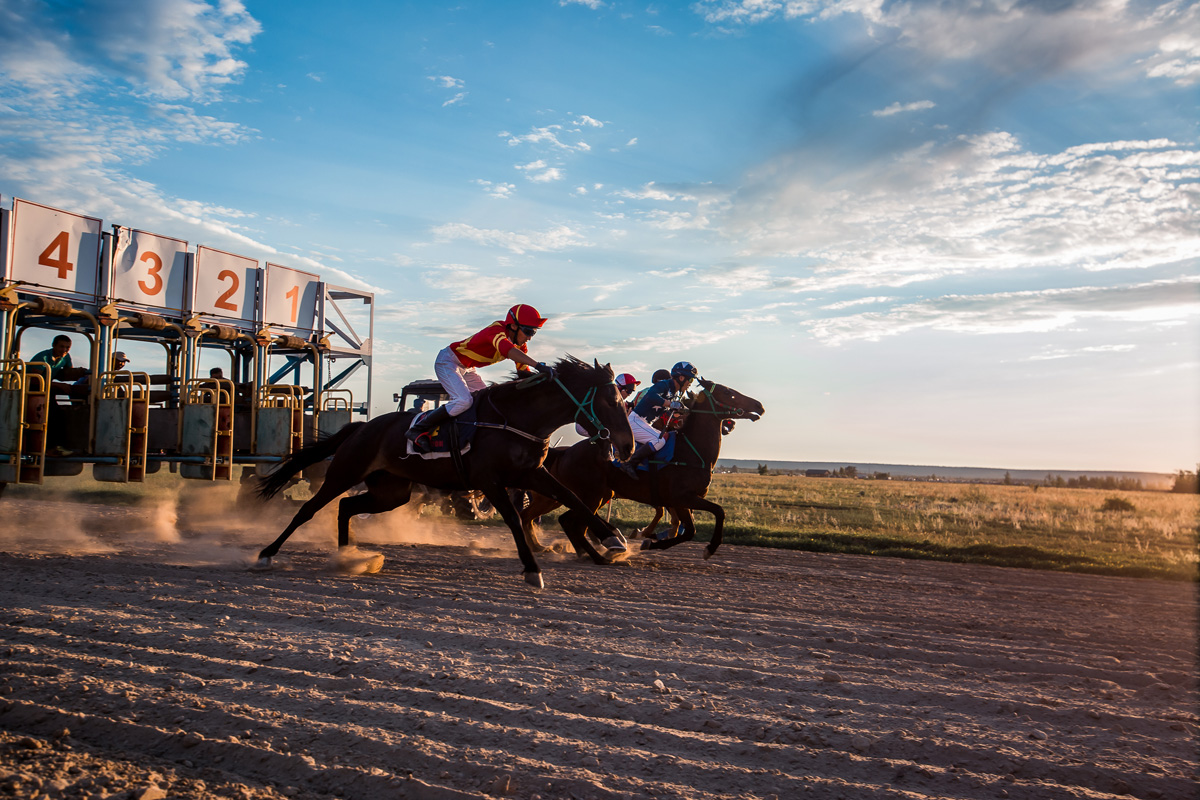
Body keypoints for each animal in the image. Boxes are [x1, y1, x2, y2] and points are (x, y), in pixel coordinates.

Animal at [254, 357, 634, 588]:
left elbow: (572, 498)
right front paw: (532, 569)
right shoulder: (488, 481)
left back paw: (350, 557)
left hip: (391, 491)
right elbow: (513, 518)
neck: (517, 419)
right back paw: (266, 554)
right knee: (309, 509)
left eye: (624, 401)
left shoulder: (530, 474)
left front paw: (613, 539)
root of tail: (362, 427)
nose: (627, 446)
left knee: (347, 506)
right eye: (610, 401)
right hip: (344, 472)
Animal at [520, 379, 764, 558]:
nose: (759, 406)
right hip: (588, 495)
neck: (691, 452)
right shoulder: (681, 498)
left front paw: (650, 539)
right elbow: (709, 518)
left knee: (560, 520)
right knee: (566, 521)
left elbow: (692, 525)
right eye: (729, 393)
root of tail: (565, 451)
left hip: (581, 495)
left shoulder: (682, 500)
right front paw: (707, 548)